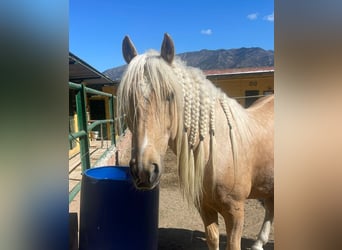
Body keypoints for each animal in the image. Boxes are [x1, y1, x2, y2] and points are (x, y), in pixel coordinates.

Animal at [119, 33, 274, 250]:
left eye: (170, 95)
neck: (216, 150)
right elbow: (213, 239)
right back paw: (259, 243)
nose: (144, 171)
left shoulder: (236, 212)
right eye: (128, 98)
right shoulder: (205, 207)